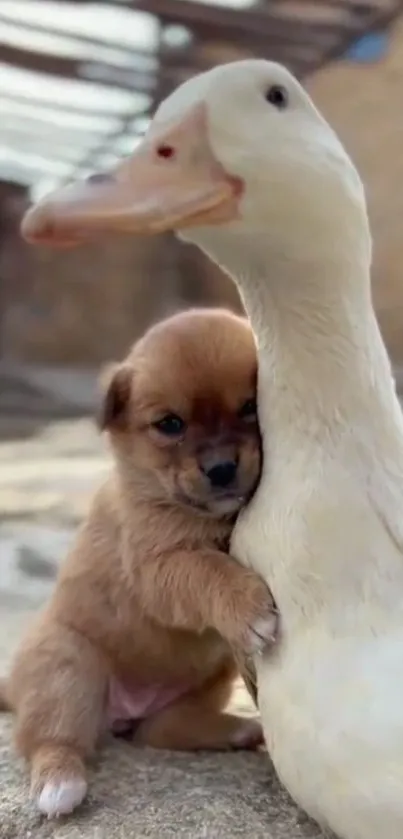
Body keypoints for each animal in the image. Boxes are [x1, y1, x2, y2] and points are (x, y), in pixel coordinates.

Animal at [0, 306, 278, 816]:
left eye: (249, 406)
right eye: (170, 424)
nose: (221, 469)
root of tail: (128, 709)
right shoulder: (157, 567)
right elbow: (209, 569)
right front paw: (247, 604)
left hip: (212, 675)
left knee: (160, 729)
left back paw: (238, 729)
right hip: (69, 666)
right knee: (52, 738)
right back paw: (60, 784)